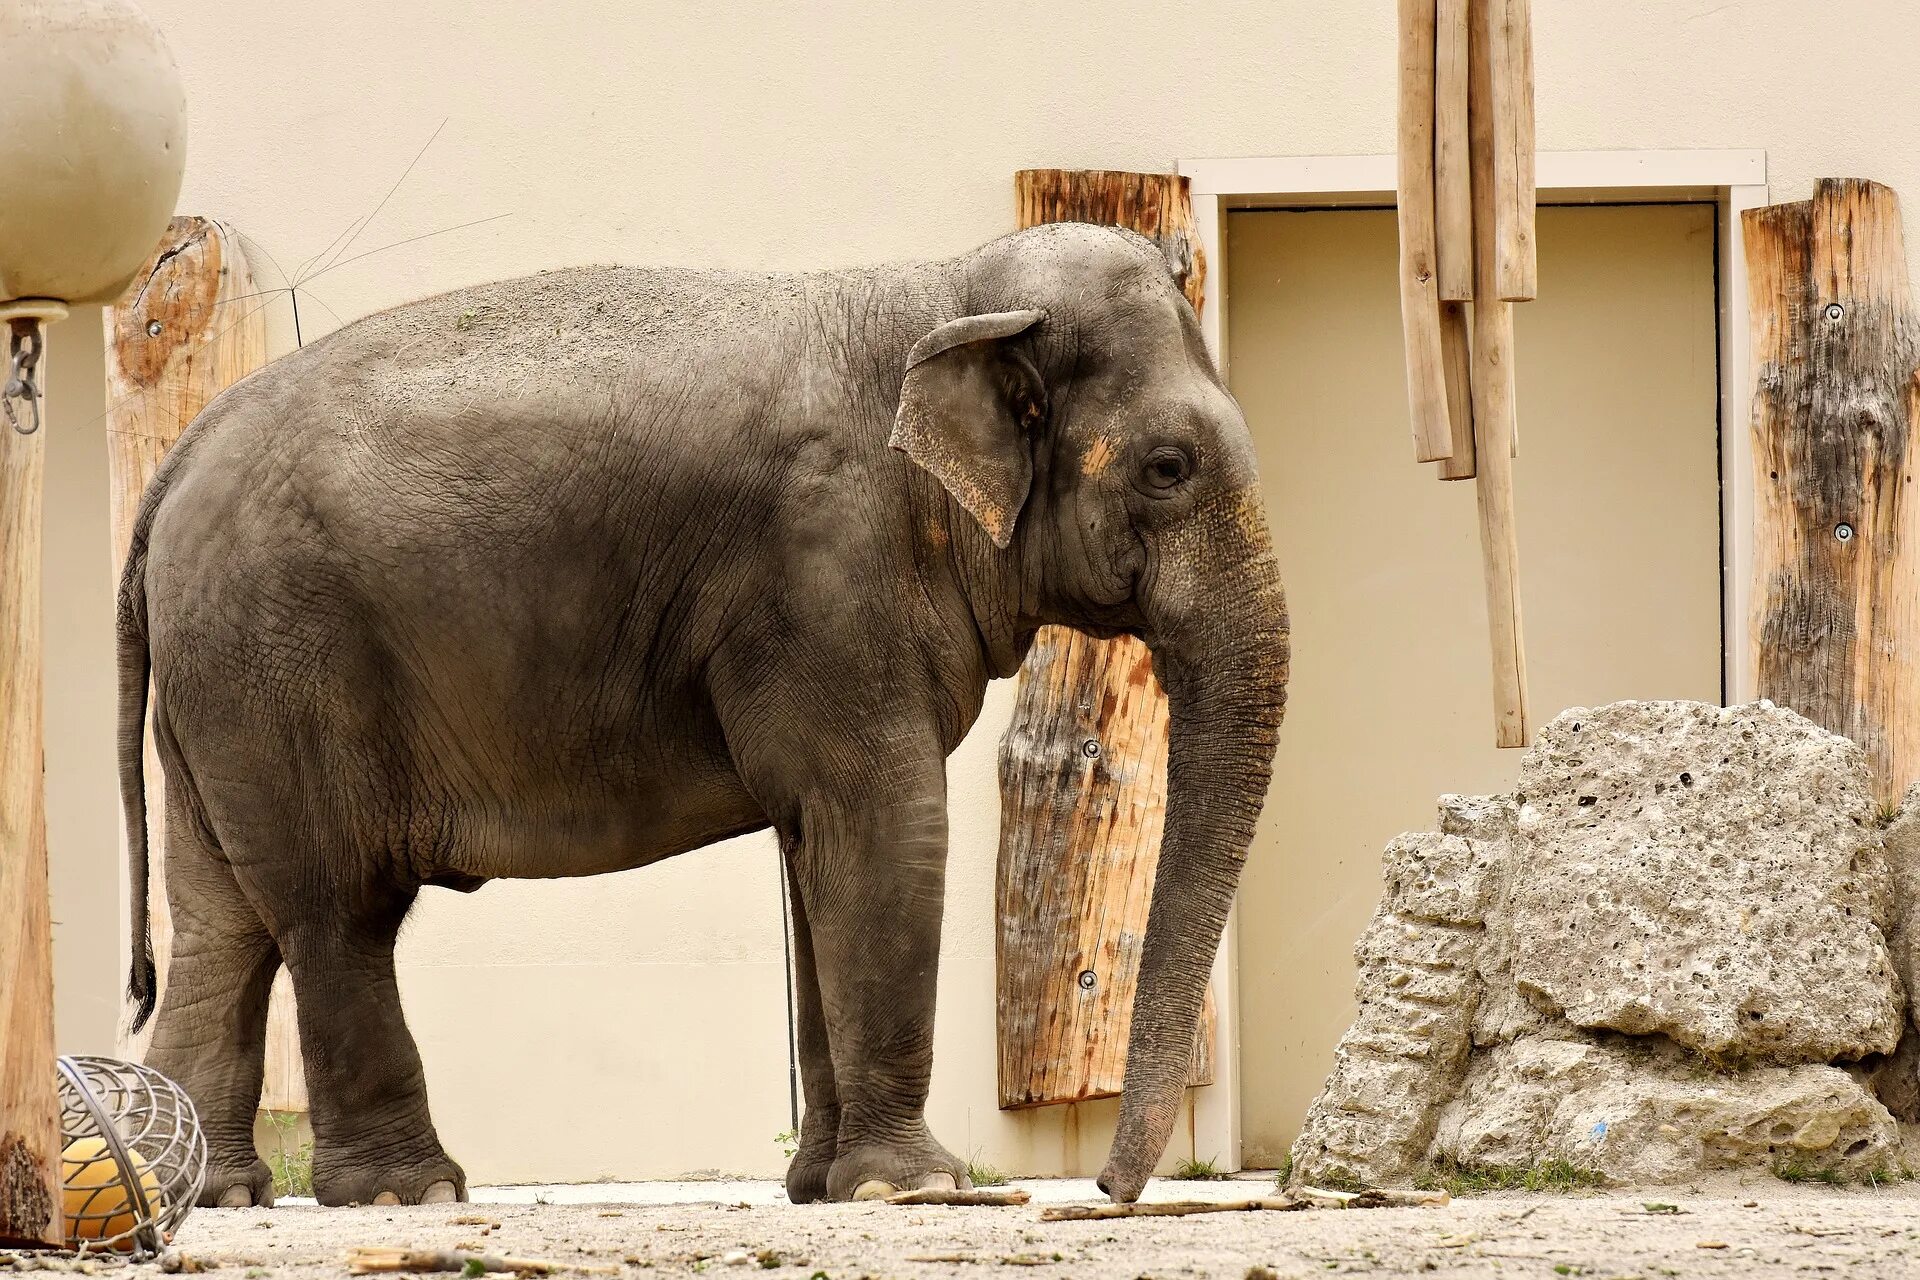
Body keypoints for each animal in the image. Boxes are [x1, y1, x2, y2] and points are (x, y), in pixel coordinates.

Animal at [116, 220, 1290, 1212]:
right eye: (1169, 467)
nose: (1109, 1191)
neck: (947, 287)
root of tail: (175, 464)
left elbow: (820, 848)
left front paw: (824, 1189)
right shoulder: (825, 575)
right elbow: (887, 825)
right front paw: (915, 1188)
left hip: (219, 691)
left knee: (223, 919)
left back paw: (204, 1192)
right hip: (282, 663)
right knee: (336, 907)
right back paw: (408, 1194)